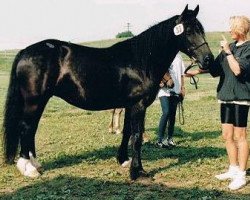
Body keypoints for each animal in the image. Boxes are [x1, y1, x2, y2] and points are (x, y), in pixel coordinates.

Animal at [1, 5, 213, 180]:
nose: (208, 60)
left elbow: (127, 132)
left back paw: (35, 164)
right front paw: (137, 172)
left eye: (201, 29)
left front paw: (124, 161)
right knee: (25, 128)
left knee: (31, 129)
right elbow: (137, 137)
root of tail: (25, 52)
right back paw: (29, 169)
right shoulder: (138, 105)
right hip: (34, 101)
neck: (140, 60)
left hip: (40, 101)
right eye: (189, 30)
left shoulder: (129, 105)